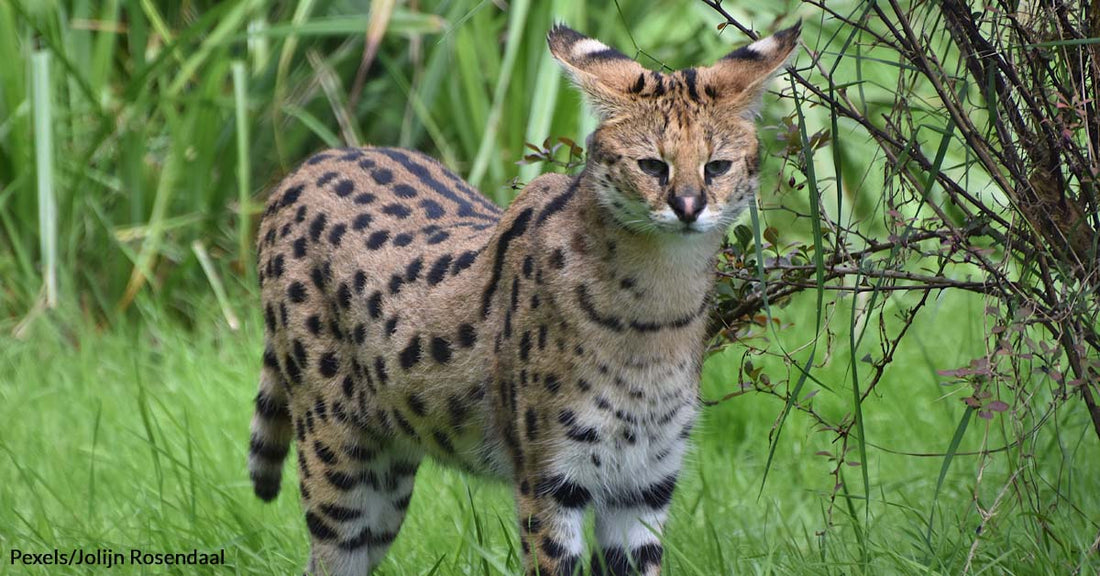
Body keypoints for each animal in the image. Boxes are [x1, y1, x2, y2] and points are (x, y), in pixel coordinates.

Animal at [249, 22, 800, 576]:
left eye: (717, 167)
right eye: (651, 165)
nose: (688, 206)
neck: (660, 309)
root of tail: (309, 164)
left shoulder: (645, 481)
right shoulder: (551, 476)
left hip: (387, 475)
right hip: (339, 459)